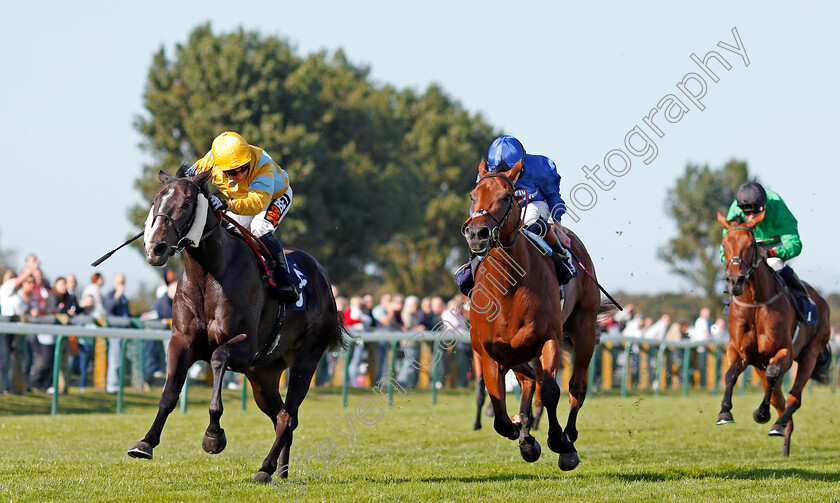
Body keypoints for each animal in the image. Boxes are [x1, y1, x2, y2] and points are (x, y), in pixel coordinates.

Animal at [128, 167, 344, 482]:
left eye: (187, 203)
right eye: (156, 201)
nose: (155, 247)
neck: (209, 274)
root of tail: (323, 278)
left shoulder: (243, 347)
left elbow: (218, 358)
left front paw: (213, 435)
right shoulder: (181, 341)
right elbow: (169, 394)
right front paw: (145, 443)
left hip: (306, 358)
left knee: (288, 416)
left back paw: (265, 468)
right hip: (263, 374)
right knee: (281, 416)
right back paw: (280, 470)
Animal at [460, 162, 604, 472]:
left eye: (507, 196)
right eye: (473, 195)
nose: (477, 233)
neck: (509, 288)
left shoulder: (548, 338)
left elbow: (550, 391)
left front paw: (559, 443)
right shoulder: (489, 352)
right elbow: (499, 412)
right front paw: (521, 432)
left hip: (584, 329)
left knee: (576, 388)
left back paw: (568, 438)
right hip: (517, 351)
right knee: (528, 380)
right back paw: (526, 433)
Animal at [716, 213, 832, 456]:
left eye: (751, 244)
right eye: (724, 244)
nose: (735, 281)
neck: (755, 303)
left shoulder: (784, 351)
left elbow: (774, 375)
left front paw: (761, 413)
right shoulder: (739, 351)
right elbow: (730, 374)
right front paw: (724, 413)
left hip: (810, 355)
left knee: (794, 397)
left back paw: (778, 424)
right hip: (760, 365)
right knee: (780, 400)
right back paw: (784, 437)